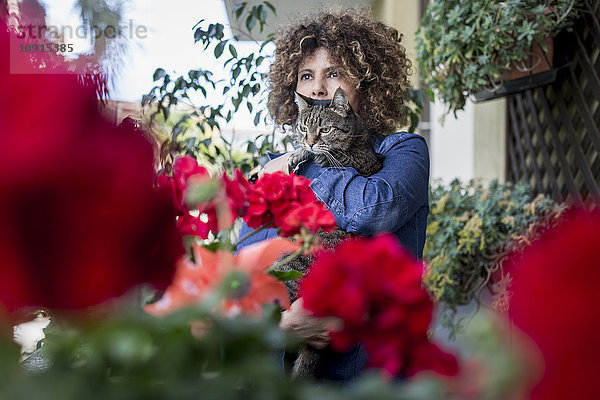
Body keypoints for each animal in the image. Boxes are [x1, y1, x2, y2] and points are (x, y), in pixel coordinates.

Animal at [278, 87, 384, 378]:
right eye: (304, 128)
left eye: (325, 129)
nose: (310, 141)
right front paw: (296, 154)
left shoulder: (366, 164)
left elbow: (333, 158)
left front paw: (312, 154)